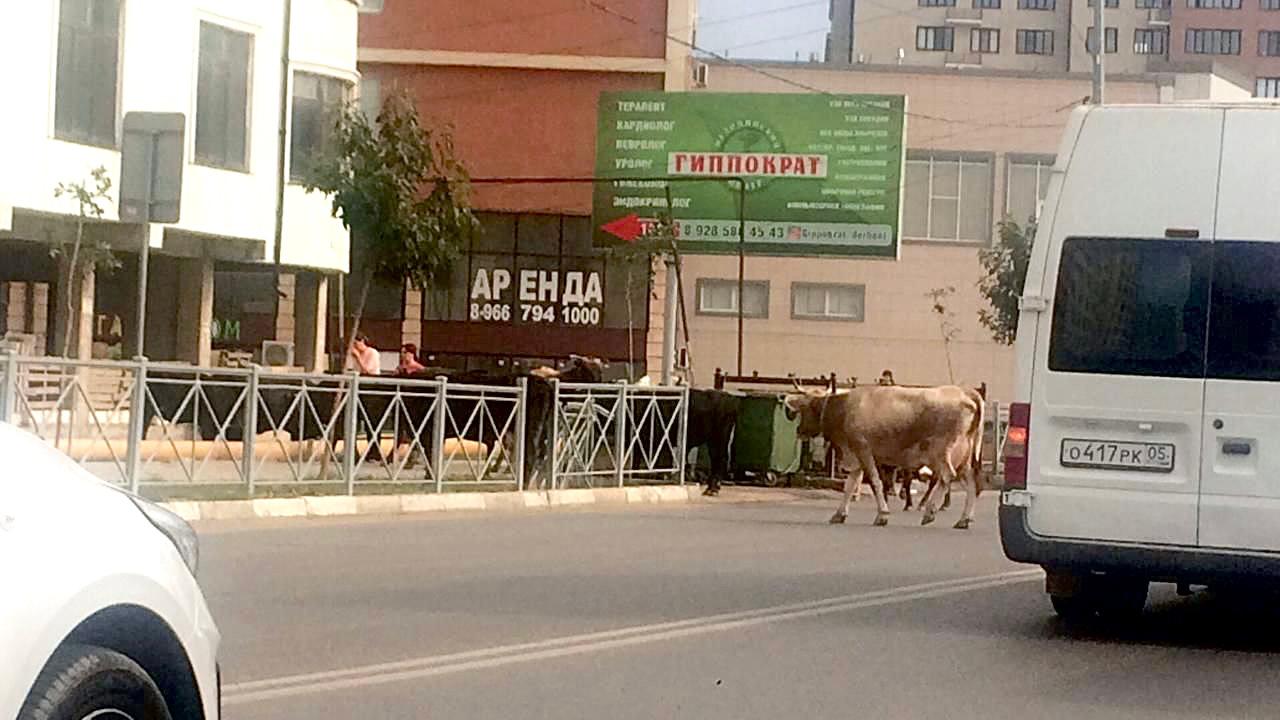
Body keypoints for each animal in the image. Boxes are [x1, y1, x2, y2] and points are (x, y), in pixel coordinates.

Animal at [783, 384, 983, 530]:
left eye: (804, 409)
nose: (799, 431)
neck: (843, 408)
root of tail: (965, 392)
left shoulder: (862, 449)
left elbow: (874, 481)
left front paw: (882, 515)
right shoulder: (855, 455)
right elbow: (849, 485)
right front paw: (839, 514)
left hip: (942, 452)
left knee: (947, 476)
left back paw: (930, 512)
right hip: (964, 456)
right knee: (971, 483)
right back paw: (964, 519)